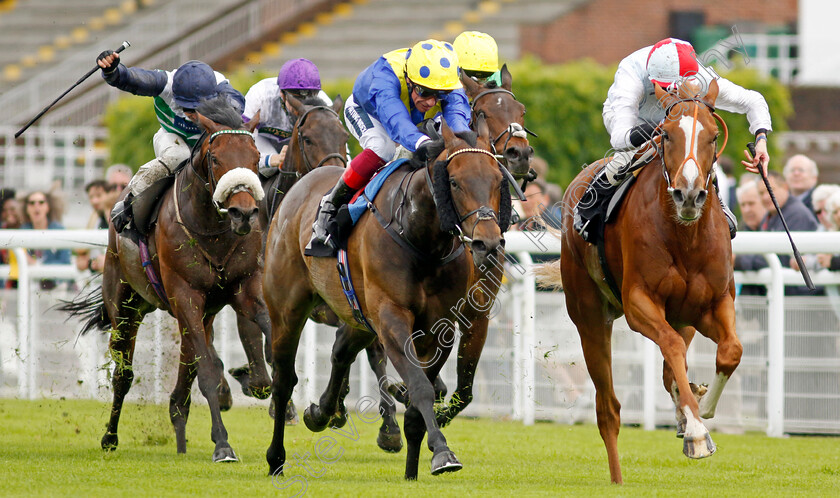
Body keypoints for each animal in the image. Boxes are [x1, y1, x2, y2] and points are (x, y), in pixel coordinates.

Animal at [66, 97, 270, 462]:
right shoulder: (185, 295)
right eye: (216, 158)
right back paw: (110, 437)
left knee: (185, 377)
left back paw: (181, 434)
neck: (213, 232)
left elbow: (265, 337)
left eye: (256, 157)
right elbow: (207, 371)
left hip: (199, 316)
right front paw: (223, 444)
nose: (244, 213)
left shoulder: (244, 288)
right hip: (125, 304)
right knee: (124, 374)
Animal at [266, 115, 508, 478]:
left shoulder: (443, 326)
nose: (488, 244)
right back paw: (276, 457)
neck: (421, 237)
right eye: (454, 182)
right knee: (283, 380)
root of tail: (298, 188)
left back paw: (322, 412)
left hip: (359, 315)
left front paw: (413, 467)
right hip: (286, 309)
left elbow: (427, 394)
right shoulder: (392, 318)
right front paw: (442, 453)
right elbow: (420, 386)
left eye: (497, 179)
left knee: (341, 352)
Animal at [540, 79, 740, 482]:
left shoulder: (713, 303)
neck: (684, 235)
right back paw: (618, 477)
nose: (689, 194)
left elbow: (730, 351)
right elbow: (671, 347)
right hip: (590, 317)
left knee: (667, 373)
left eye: (712, 136)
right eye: (666, 135)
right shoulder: (638, 303)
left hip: (684, 318)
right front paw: (698, 432)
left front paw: (702, 408)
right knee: (608, 409)